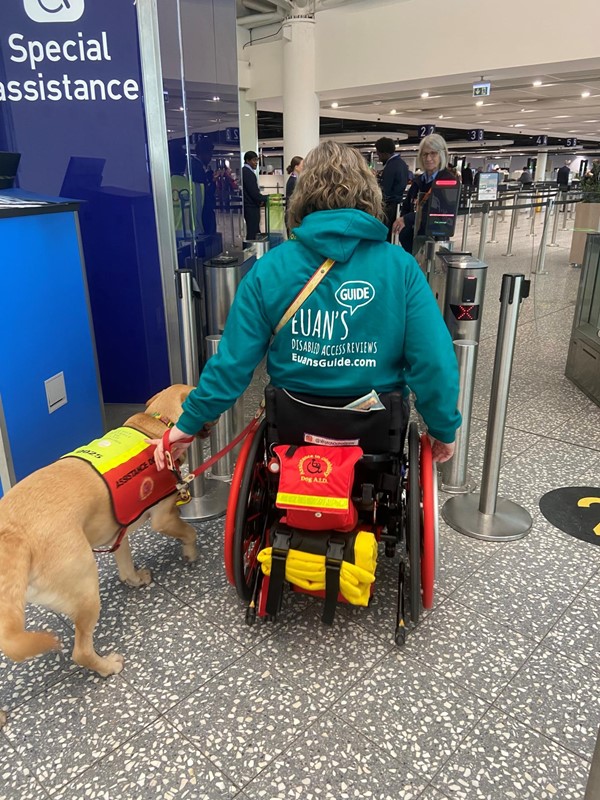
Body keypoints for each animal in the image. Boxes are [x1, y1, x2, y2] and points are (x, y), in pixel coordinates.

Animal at [0, 386, 197, 680]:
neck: (155, 424)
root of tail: (14, 535)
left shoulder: (119, 531)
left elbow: (125, 565)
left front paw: (134, 579)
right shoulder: (162, 518)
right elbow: (189, 531)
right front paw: (190, 551)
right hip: (85, 585)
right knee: (81, 651)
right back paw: (108, 666)